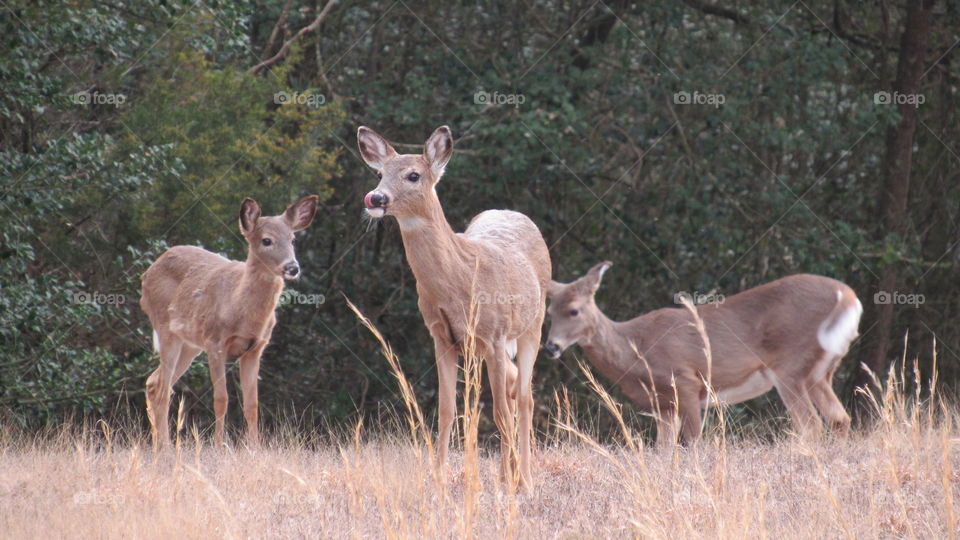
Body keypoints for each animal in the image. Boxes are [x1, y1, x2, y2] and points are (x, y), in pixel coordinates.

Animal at [140, 195, 319, 449]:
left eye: (292, 238)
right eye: (266, 240)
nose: (292, 267)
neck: (239, 307)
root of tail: (148, 272)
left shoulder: (255, 349)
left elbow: (252, 404)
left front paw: (254, 448)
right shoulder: (215, 342)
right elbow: (221, 399)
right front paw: (219, 446)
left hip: (190, 344)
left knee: (154, 383)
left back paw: (157, 446)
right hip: (166, 329)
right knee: (164, 389)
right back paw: (165, 447)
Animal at [357, 125, 551, 488]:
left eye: (413, 175)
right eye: (379, 173)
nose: (375, 198)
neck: (459, 281)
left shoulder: (495, 334)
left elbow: (500, 411)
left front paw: (507, 484)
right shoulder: (441, 336)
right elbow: (448, 408)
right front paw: (438, 478)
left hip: (532, 323)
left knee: (525, 397)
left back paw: (525, 479)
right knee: (512, 389)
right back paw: (509, 470)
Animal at [545, 262, 862, 446]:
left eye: (573, 310)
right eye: (549, 312)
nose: (551, 346)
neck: (636, 350)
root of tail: (848, 297)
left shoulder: (686, 381)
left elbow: (695, 442)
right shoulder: (664, 405)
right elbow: (663, 450)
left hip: (790, 366)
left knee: (811, 426)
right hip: (820, 372)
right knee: (839, 419)